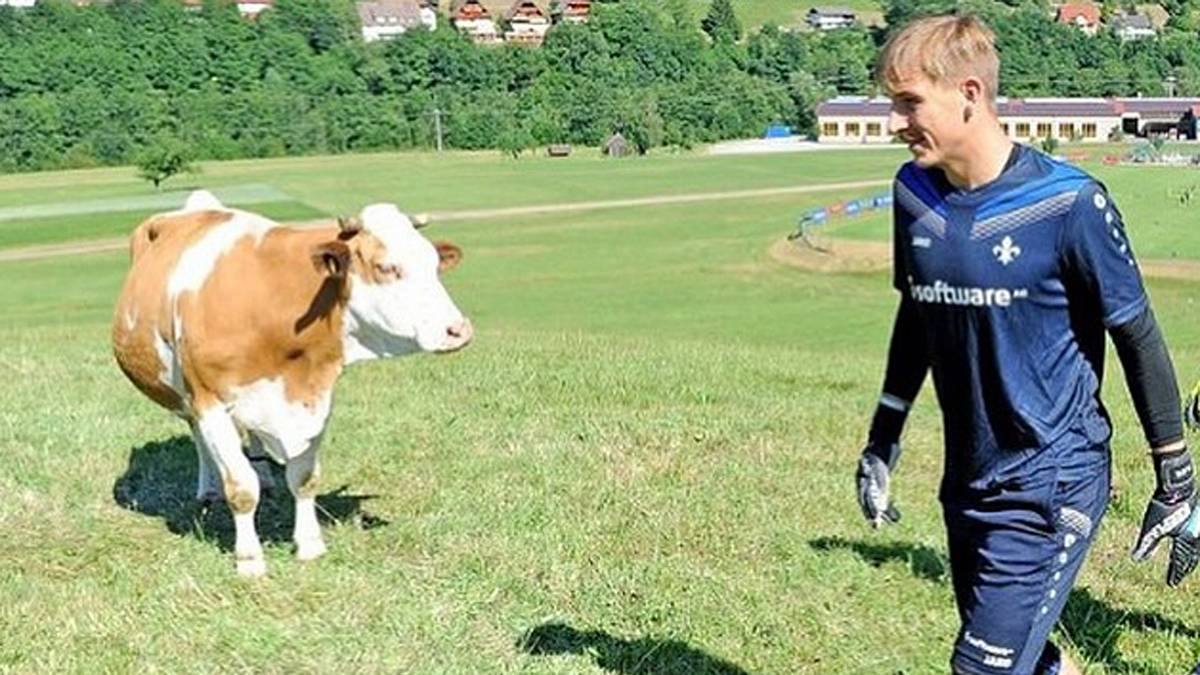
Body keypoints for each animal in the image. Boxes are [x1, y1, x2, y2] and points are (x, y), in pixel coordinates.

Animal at [112, 191, 472, 577]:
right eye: (386, 267)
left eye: (434, 264)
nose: (458, 329)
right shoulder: (209, 400)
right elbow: (241, 488)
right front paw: (249, 559)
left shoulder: (316, 397)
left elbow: (304, 477)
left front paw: (310, 544)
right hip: (186, 395)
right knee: (199, 438)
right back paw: (208, 487)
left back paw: (264, 474)